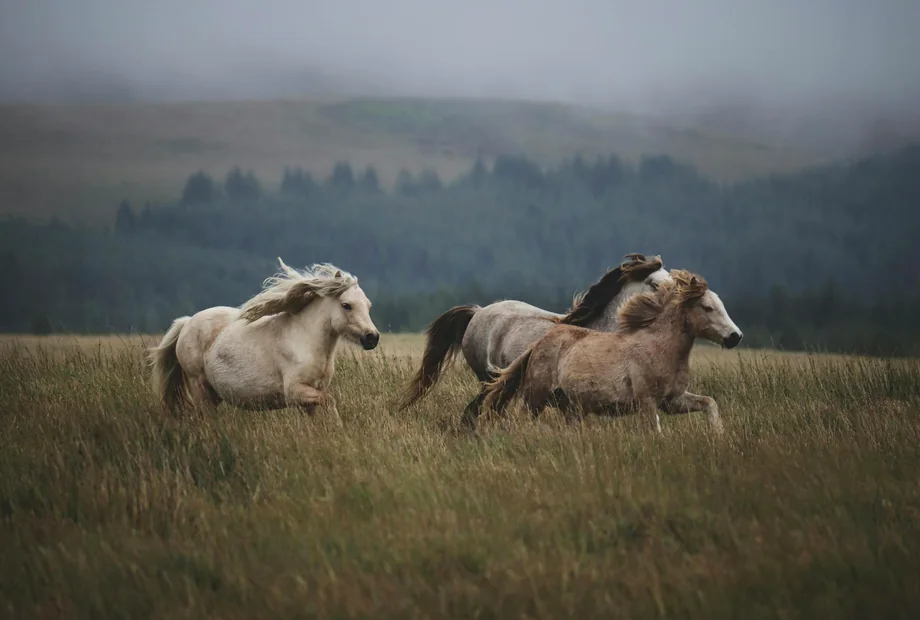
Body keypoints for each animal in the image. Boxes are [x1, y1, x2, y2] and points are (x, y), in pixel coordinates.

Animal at [149, 259, 380, 422]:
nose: (372, 338)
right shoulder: (295, 392)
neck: (306, 340)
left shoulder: (310, 397)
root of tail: (186, 322)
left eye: (368, 305)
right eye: (346, 305)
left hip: (213, 393)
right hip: (199, 386)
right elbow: (330, 401)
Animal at [480, 269, 742, 434]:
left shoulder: (673, 401)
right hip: (536, 396)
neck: (660, 348)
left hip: (570, 407)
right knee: (521, 419)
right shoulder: (647, 402)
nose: (735, 336)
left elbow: (710, 403)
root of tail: (538, 343)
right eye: (707, 307)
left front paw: (718, 435)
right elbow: (655, 431)